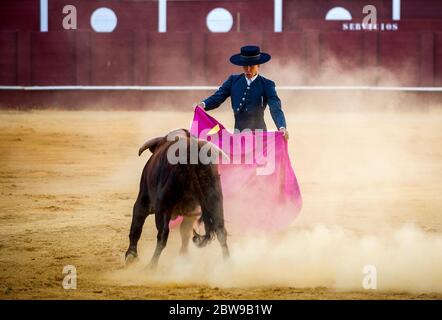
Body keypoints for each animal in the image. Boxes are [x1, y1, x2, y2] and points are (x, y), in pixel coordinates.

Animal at [123, 128, 228, 268]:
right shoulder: (192, 212)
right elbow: (185, 232)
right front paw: (183, 256)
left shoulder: (143, 201)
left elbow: (136, 227)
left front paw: (130, 256)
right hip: (215, 200)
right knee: (221, 230)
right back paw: (228, 262)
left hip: (163, 206)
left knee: (162, 235)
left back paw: (151, 266)